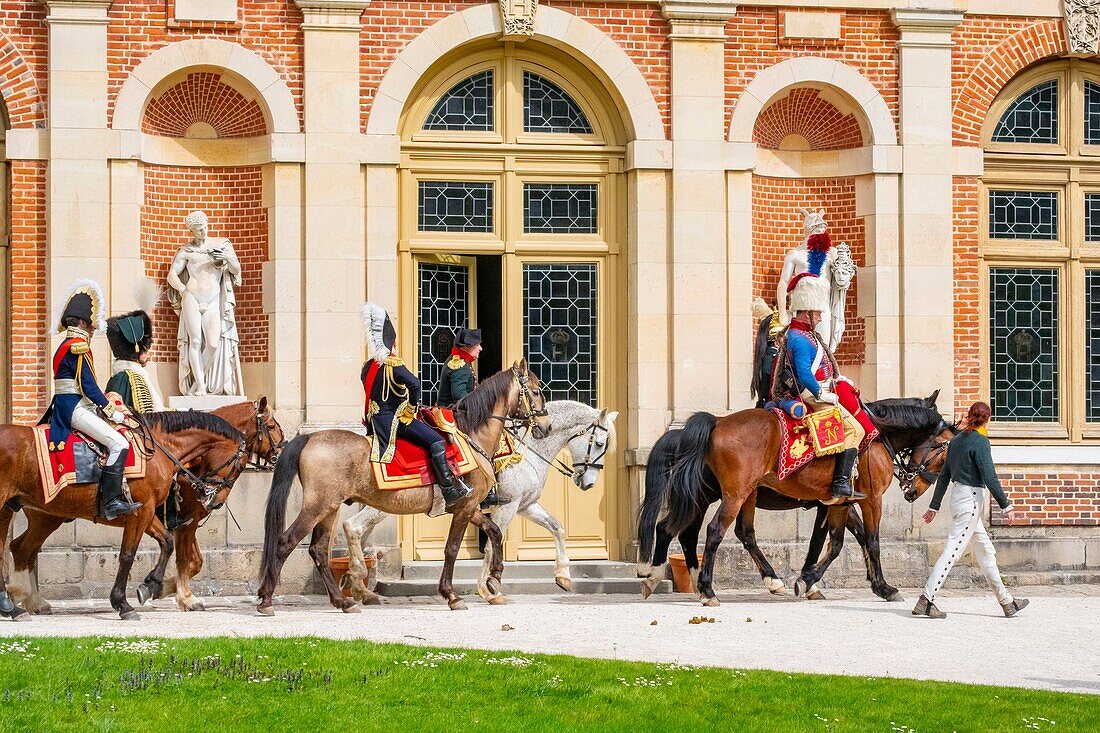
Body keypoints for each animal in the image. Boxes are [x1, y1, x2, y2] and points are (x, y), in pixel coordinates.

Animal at [2, 396, 286, 611]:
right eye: (272, 426)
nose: (280, 453)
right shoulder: (163, 517)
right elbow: (173, 558)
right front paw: (177, 595)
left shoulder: (157, 516)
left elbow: (184, 555)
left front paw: (161, 588)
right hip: (45, 516)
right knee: (23, 549)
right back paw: (21, 595)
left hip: (46, 515)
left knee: (22, 548)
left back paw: (31, 600)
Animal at [256, 358, 550, 611]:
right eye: (537, 391)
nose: (545, 426)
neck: (472, 436)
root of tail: (309, 437)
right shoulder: (465, 507)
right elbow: (452, 549)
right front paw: (452, 594)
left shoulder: (469, 507)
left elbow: (495, 533)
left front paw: (494, 579)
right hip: (318, 506)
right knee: (286, 542)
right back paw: (267, 599)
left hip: (330, 508)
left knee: (318, 550)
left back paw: (343, 601)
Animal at [341, 402, 616, 603]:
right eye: (599, 443)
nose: (588, 483)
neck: (529, 450)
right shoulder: (508, 506)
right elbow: (492, 545)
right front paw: (489, 588)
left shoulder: (525, 506)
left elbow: (557, 528)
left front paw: (563, 577)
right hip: (385, 507)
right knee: (354, 527)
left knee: (358, 533)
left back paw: (354, 583)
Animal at [642, 394, 950, 598]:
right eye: (946, 449)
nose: (912, 488)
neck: (877, 434)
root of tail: (717, 422)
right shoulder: (870, 499)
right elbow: (868, 541)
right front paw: (883, 587)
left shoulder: (838, 503)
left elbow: (831, 542)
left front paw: (811, 579)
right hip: (728, 495)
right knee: (705, 531)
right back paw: (704, 588)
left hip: (724, 496)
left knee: (693, 532)